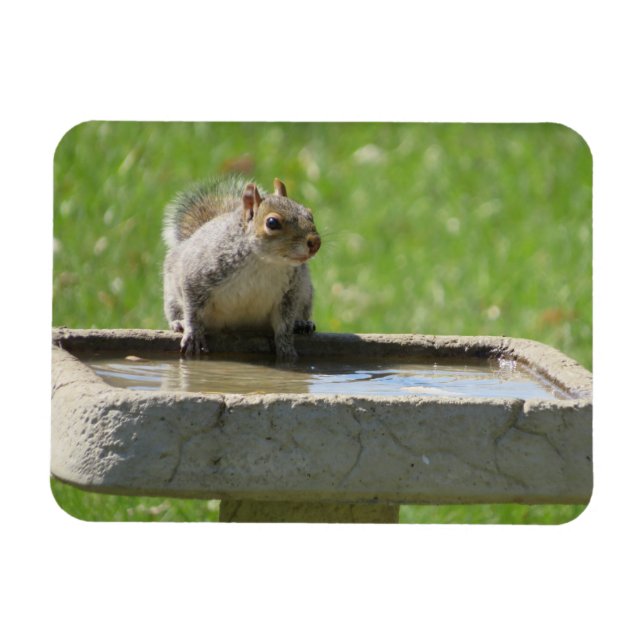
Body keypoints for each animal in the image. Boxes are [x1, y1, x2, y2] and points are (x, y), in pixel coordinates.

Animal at [162, 175, 321, 361]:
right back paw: (178, 323)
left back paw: (302, 323)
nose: (315, 242)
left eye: (310, 214)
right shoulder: (198, 275)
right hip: (172, 294)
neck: (265, 262)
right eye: (272, 222)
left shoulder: (290, 292)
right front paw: (193, 334)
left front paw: (286, 348)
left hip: (306, 293)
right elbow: (193, 309)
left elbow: (285, 323)